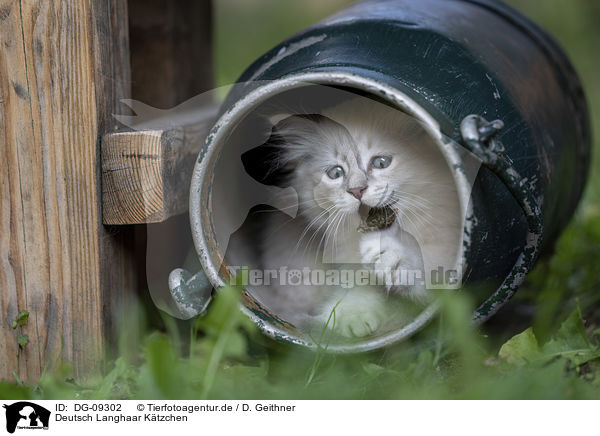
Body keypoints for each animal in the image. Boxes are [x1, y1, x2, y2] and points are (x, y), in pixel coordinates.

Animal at [244, 98, 460, 338]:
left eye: (381, 162)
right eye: (336, 173)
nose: (356, 190)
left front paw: (393, 259)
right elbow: (357, 291)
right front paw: (347, 319)